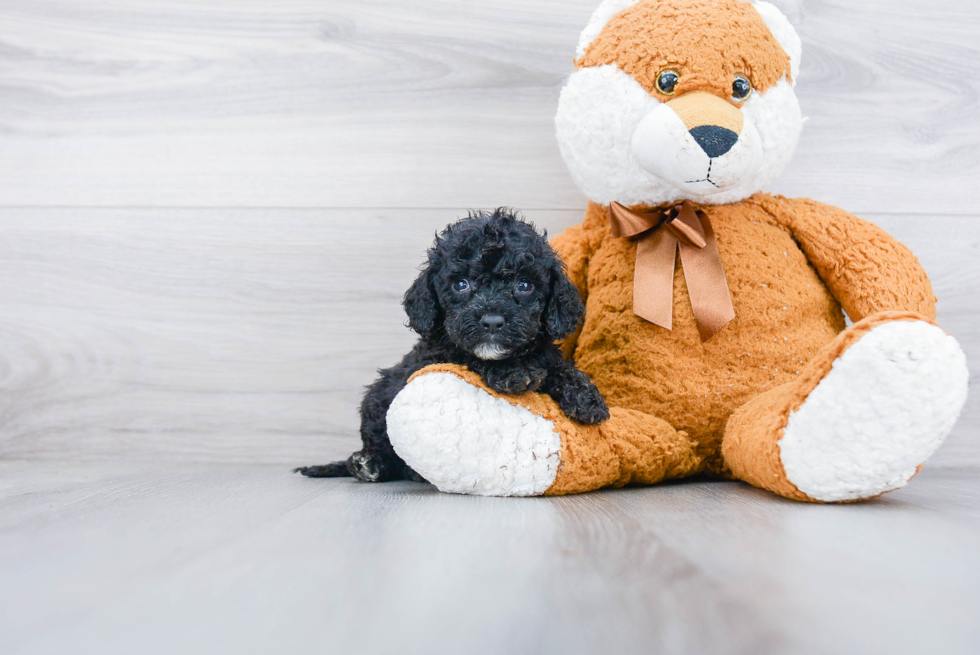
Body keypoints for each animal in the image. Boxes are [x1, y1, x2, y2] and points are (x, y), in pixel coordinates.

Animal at [294, 208, 608, 484]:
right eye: (461, 284)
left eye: (524, 285)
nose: (492, 321)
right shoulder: (439, 354)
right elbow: (472, 357)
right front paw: (512, 373)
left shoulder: (544, 350)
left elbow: (556, 365)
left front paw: (585, 397)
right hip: (376, 402)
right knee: (385, 453)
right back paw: (370, 465)